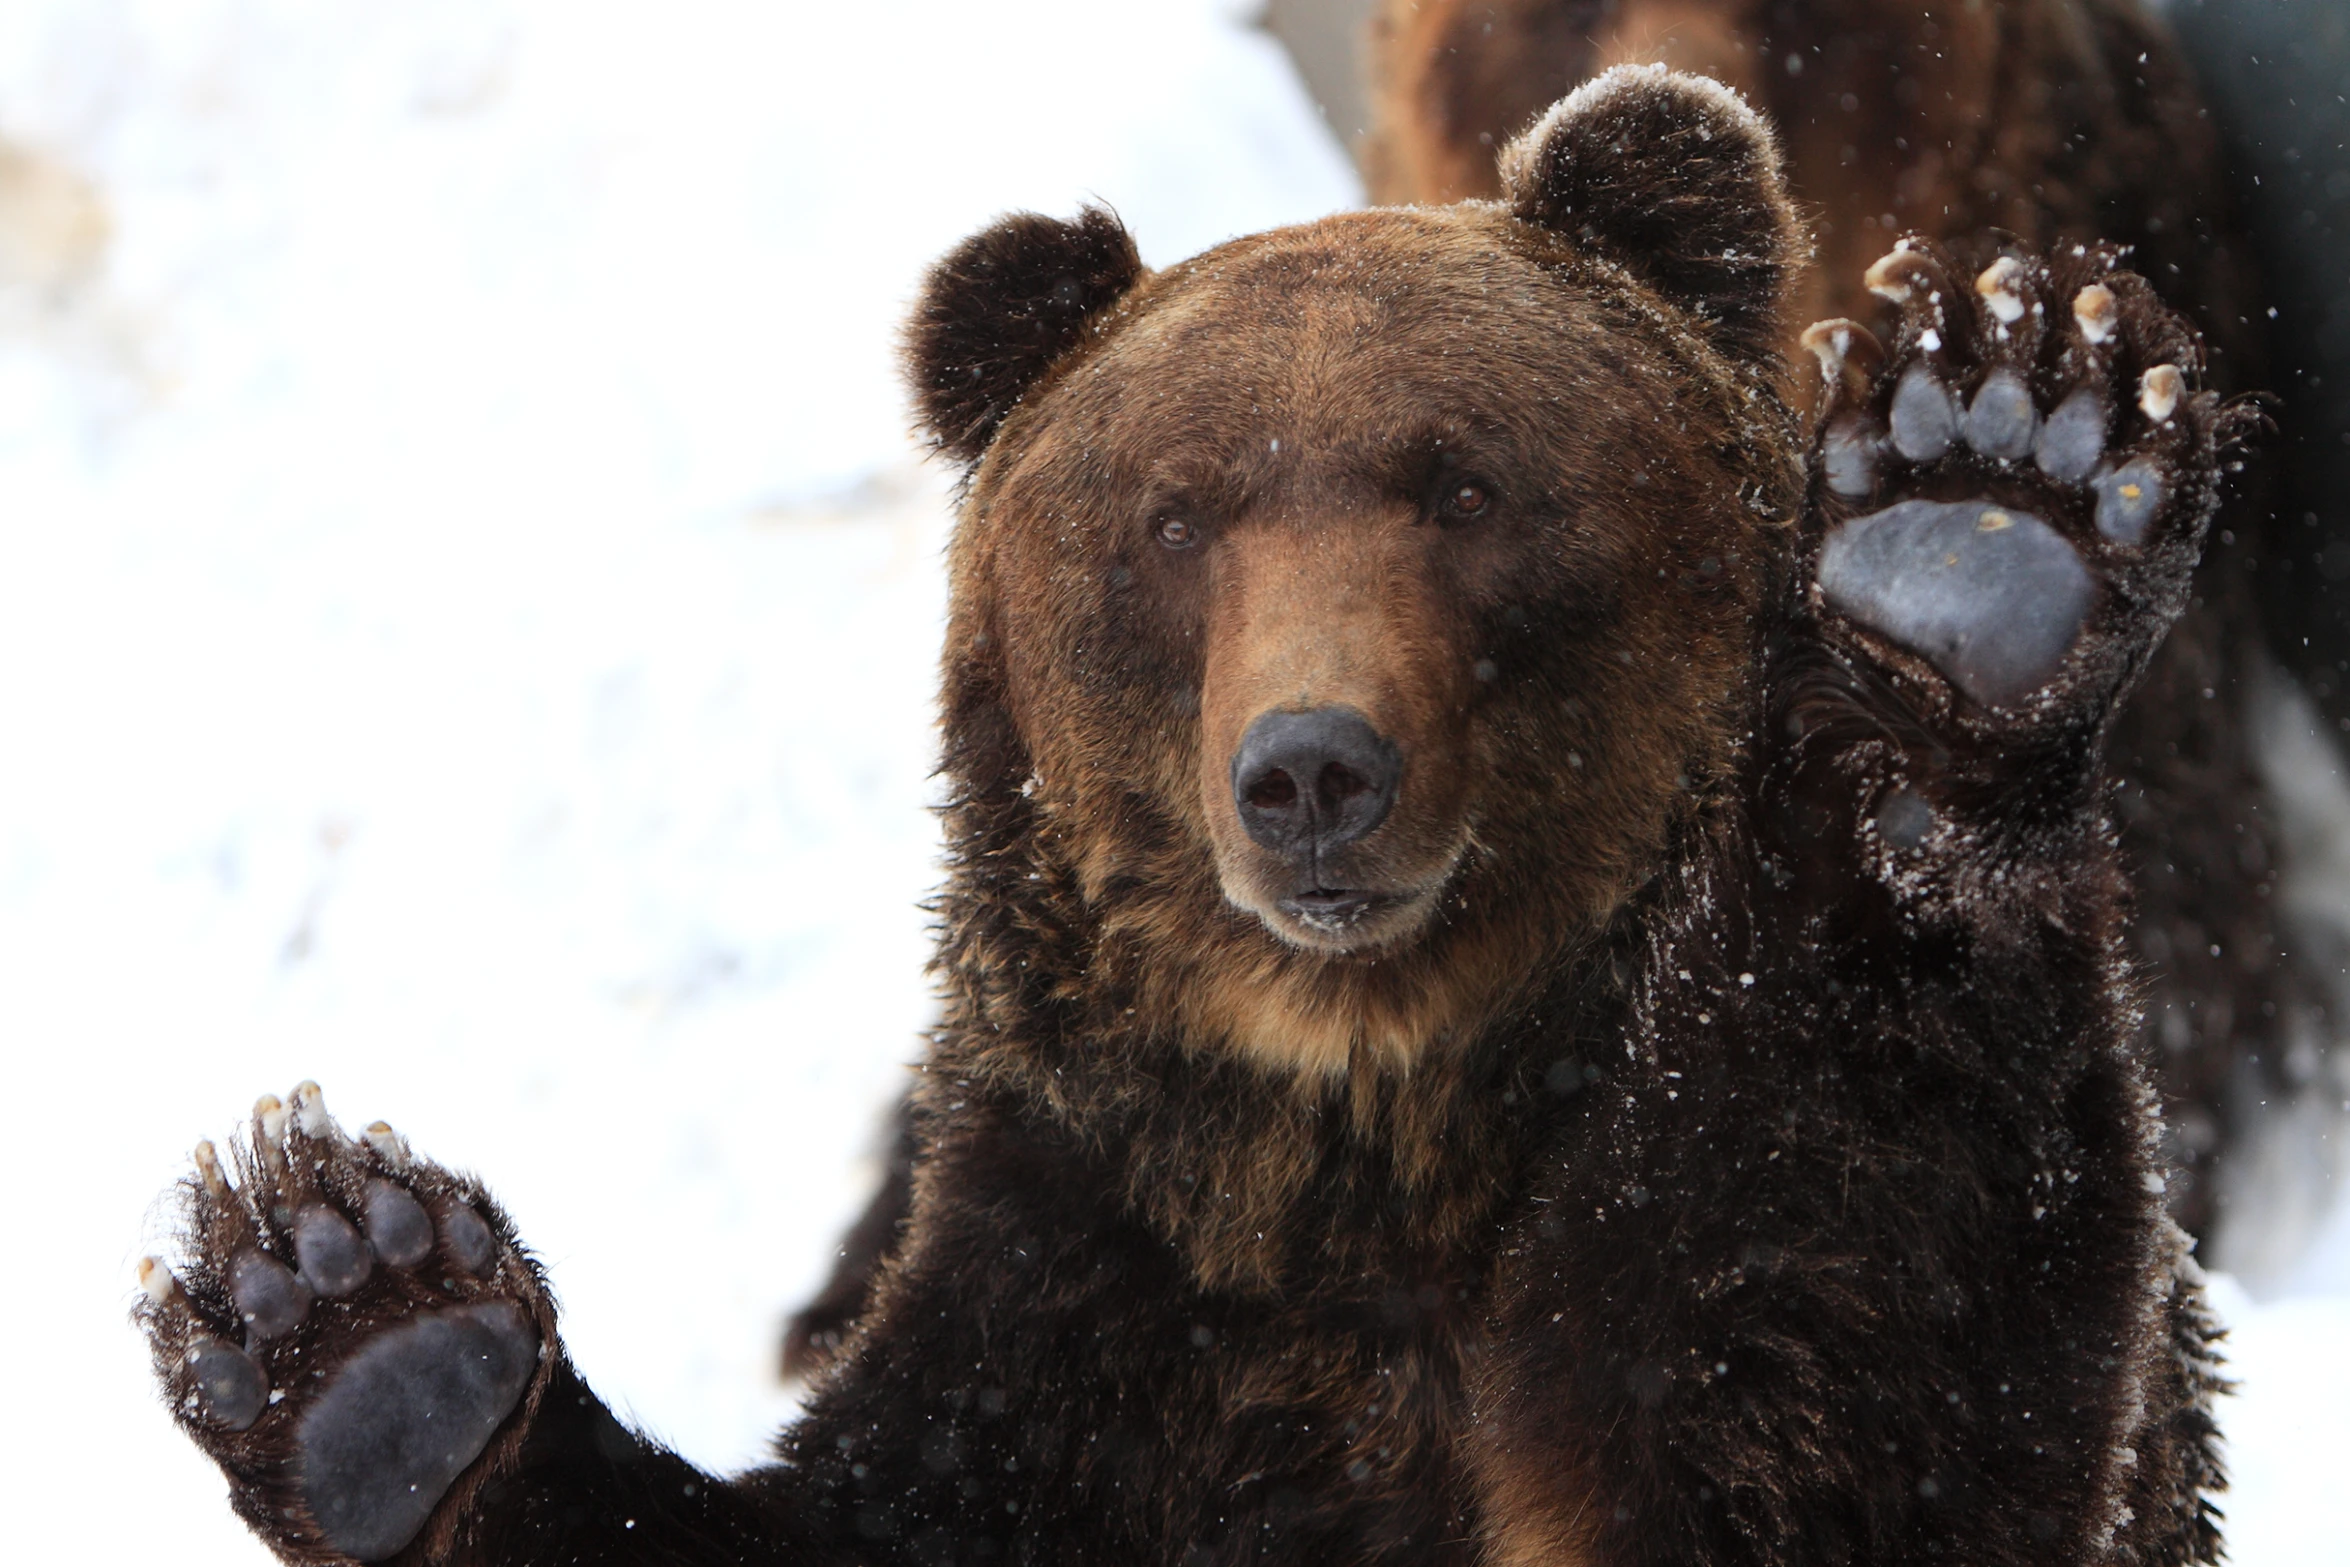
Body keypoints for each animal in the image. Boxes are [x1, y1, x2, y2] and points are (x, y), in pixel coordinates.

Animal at [137, 67, 2227, 1567]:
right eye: (1175, 516)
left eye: (1462, 481)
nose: (1309, 767)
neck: (1384, 1140)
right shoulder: (1089, 1308)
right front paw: (355, 1315)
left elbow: (1836, 1349)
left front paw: (1986, 491)